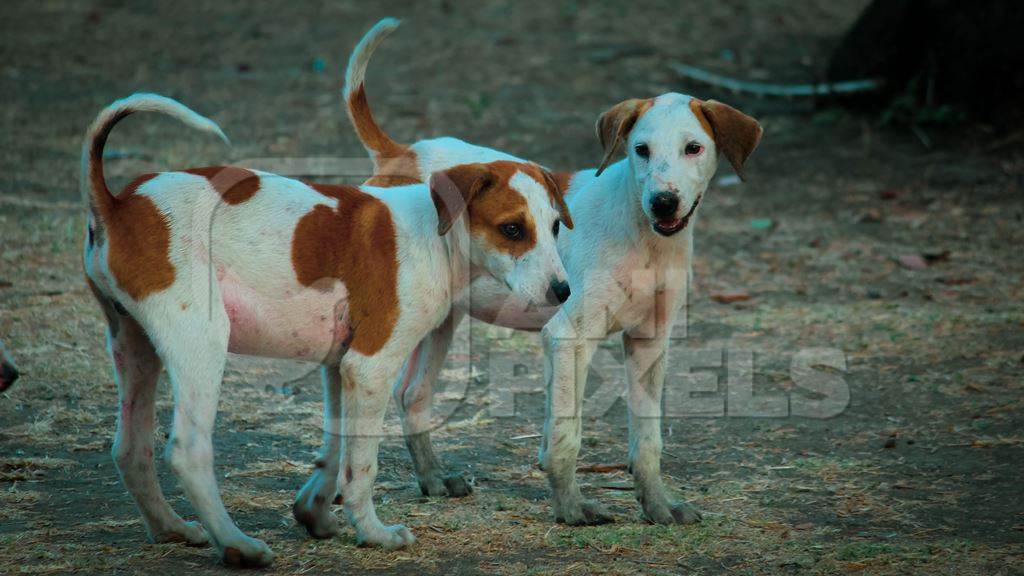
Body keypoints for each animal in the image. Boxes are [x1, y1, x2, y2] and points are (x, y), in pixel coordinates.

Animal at [81, 91, 569, 561]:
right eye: (512, 229)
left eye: (555, 228)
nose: (563, 291)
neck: (434, 232)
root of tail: (118, 204)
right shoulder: (370, 366)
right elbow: (362, 465)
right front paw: (372, 532)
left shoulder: (340, 367)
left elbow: (335, 452)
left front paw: (315, 512)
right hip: (201, 346)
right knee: (187, 451)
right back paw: (237, 545)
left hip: (135, 348)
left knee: (130, 449)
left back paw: (172, 528)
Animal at [335, 19, 761, 524]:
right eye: (640, 150)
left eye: (694, 149)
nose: (663, 202)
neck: (645, 238)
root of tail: (401, 153)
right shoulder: (568, 338)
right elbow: (566, 439)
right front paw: (572, 507)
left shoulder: (649, 343)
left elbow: (648, 442)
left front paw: (658, 504)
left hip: (440, 320)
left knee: (412, 395)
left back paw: (433, 478)